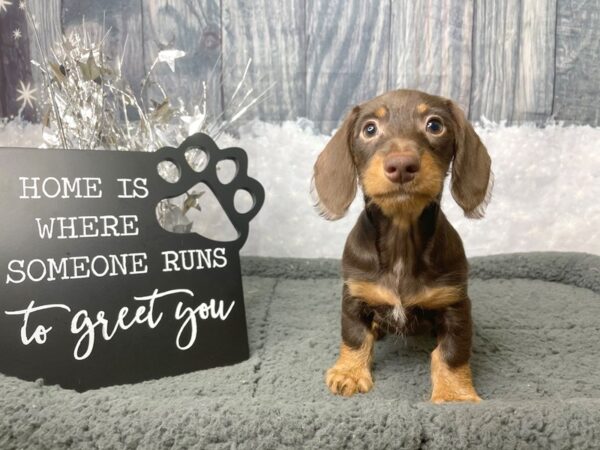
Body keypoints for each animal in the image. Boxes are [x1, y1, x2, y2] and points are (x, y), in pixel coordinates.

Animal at [312, 89, 490, 402]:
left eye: (435, 125)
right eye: (369, 129)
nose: (402, 166)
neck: (401, 241)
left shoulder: (455, 304)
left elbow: (452, 352)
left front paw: (454, 394)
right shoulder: (354, 296)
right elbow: (355, 336)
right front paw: (350, 373)